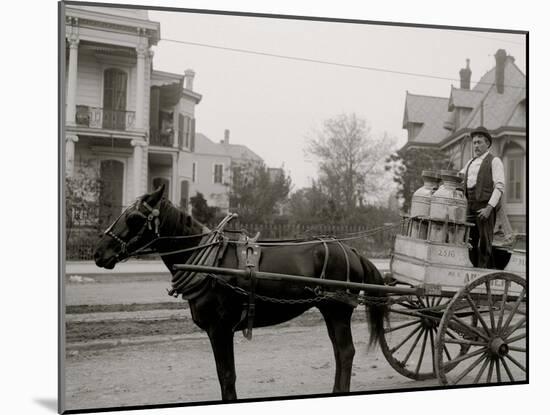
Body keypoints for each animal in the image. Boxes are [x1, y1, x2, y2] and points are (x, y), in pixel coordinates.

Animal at [94, 185, 388, 400]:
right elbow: (224, 374)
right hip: (330, 309)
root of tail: (351, 250)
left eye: (133, 218)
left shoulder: (220, 329)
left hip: (337, 310)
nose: (99, 253)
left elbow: (226, 375)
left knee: (345, 352)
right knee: (339, 352)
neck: (208, 262)